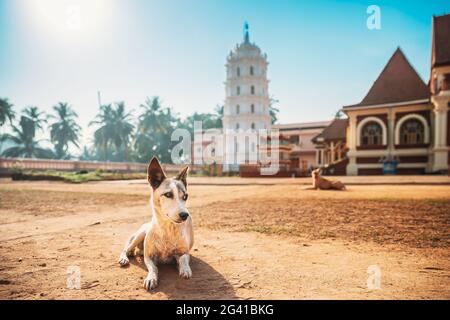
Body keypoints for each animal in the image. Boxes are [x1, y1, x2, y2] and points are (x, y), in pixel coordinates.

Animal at [118, 156, 193, 292]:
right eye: (168, 194)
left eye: (185, 196)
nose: (185, 215)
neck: (167, 228)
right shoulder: (149, 257)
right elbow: (153, 268)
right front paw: (151, 278)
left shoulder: (184, 252)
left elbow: (183, 259)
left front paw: (184, 269)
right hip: (140, 235)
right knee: (126, 248)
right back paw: (124, 258)